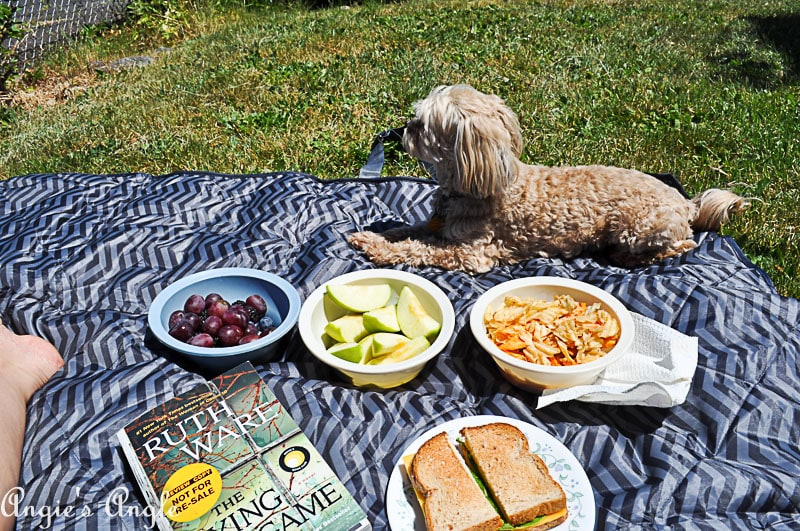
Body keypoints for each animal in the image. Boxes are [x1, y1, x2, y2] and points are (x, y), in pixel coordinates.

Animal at [350, 85, 752, 274]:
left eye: (424, 125)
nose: (405, 127)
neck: (475, 186)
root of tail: (686, 203)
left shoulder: (473, 253)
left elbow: (419, 249)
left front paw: (377, 247)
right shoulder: (439, 225)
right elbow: (413, 231)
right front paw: (381, 233)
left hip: (636, 225)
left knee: (680, 247)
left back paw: (627, 257)